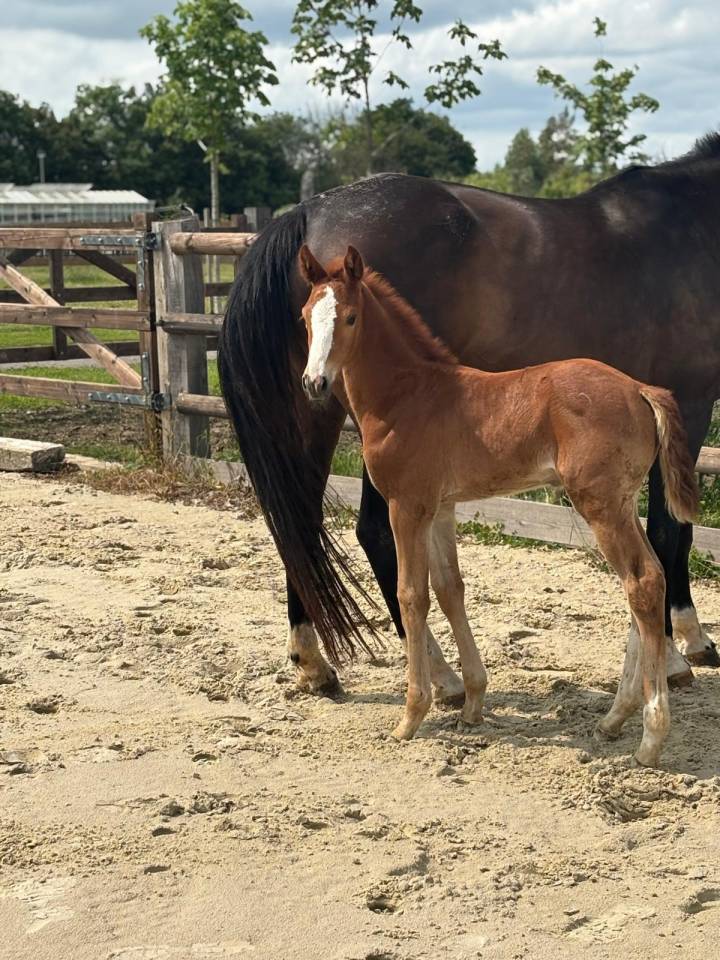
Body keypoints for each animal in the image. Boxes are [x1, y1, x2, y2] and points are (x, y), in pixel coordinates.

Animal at [218, 132, 720, 701]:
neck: (694, 229)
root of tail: (308, 211)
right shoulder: (690, 403)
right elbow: (671, 529)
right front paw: (681, 648)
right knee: (371, 532)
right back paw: (441, 674)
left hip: (310, 409)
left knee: (299, 521)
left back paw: (313, 662)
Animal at [297, 242, 699, 767]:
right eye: (306, 317)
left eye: (350, 317)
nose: (314, 383)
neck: (407, 395)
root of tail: (640, 389)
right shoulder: (441, 510)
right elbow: (450, 590)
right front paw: (472, 703)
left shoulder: (408, 506)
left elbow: (411, 596)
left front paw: (411, 716)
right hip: (623, 502)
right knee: (650, 578)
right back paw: (614, 718)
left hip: (600, 504)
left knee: (643, 582)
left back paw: (650, 739)